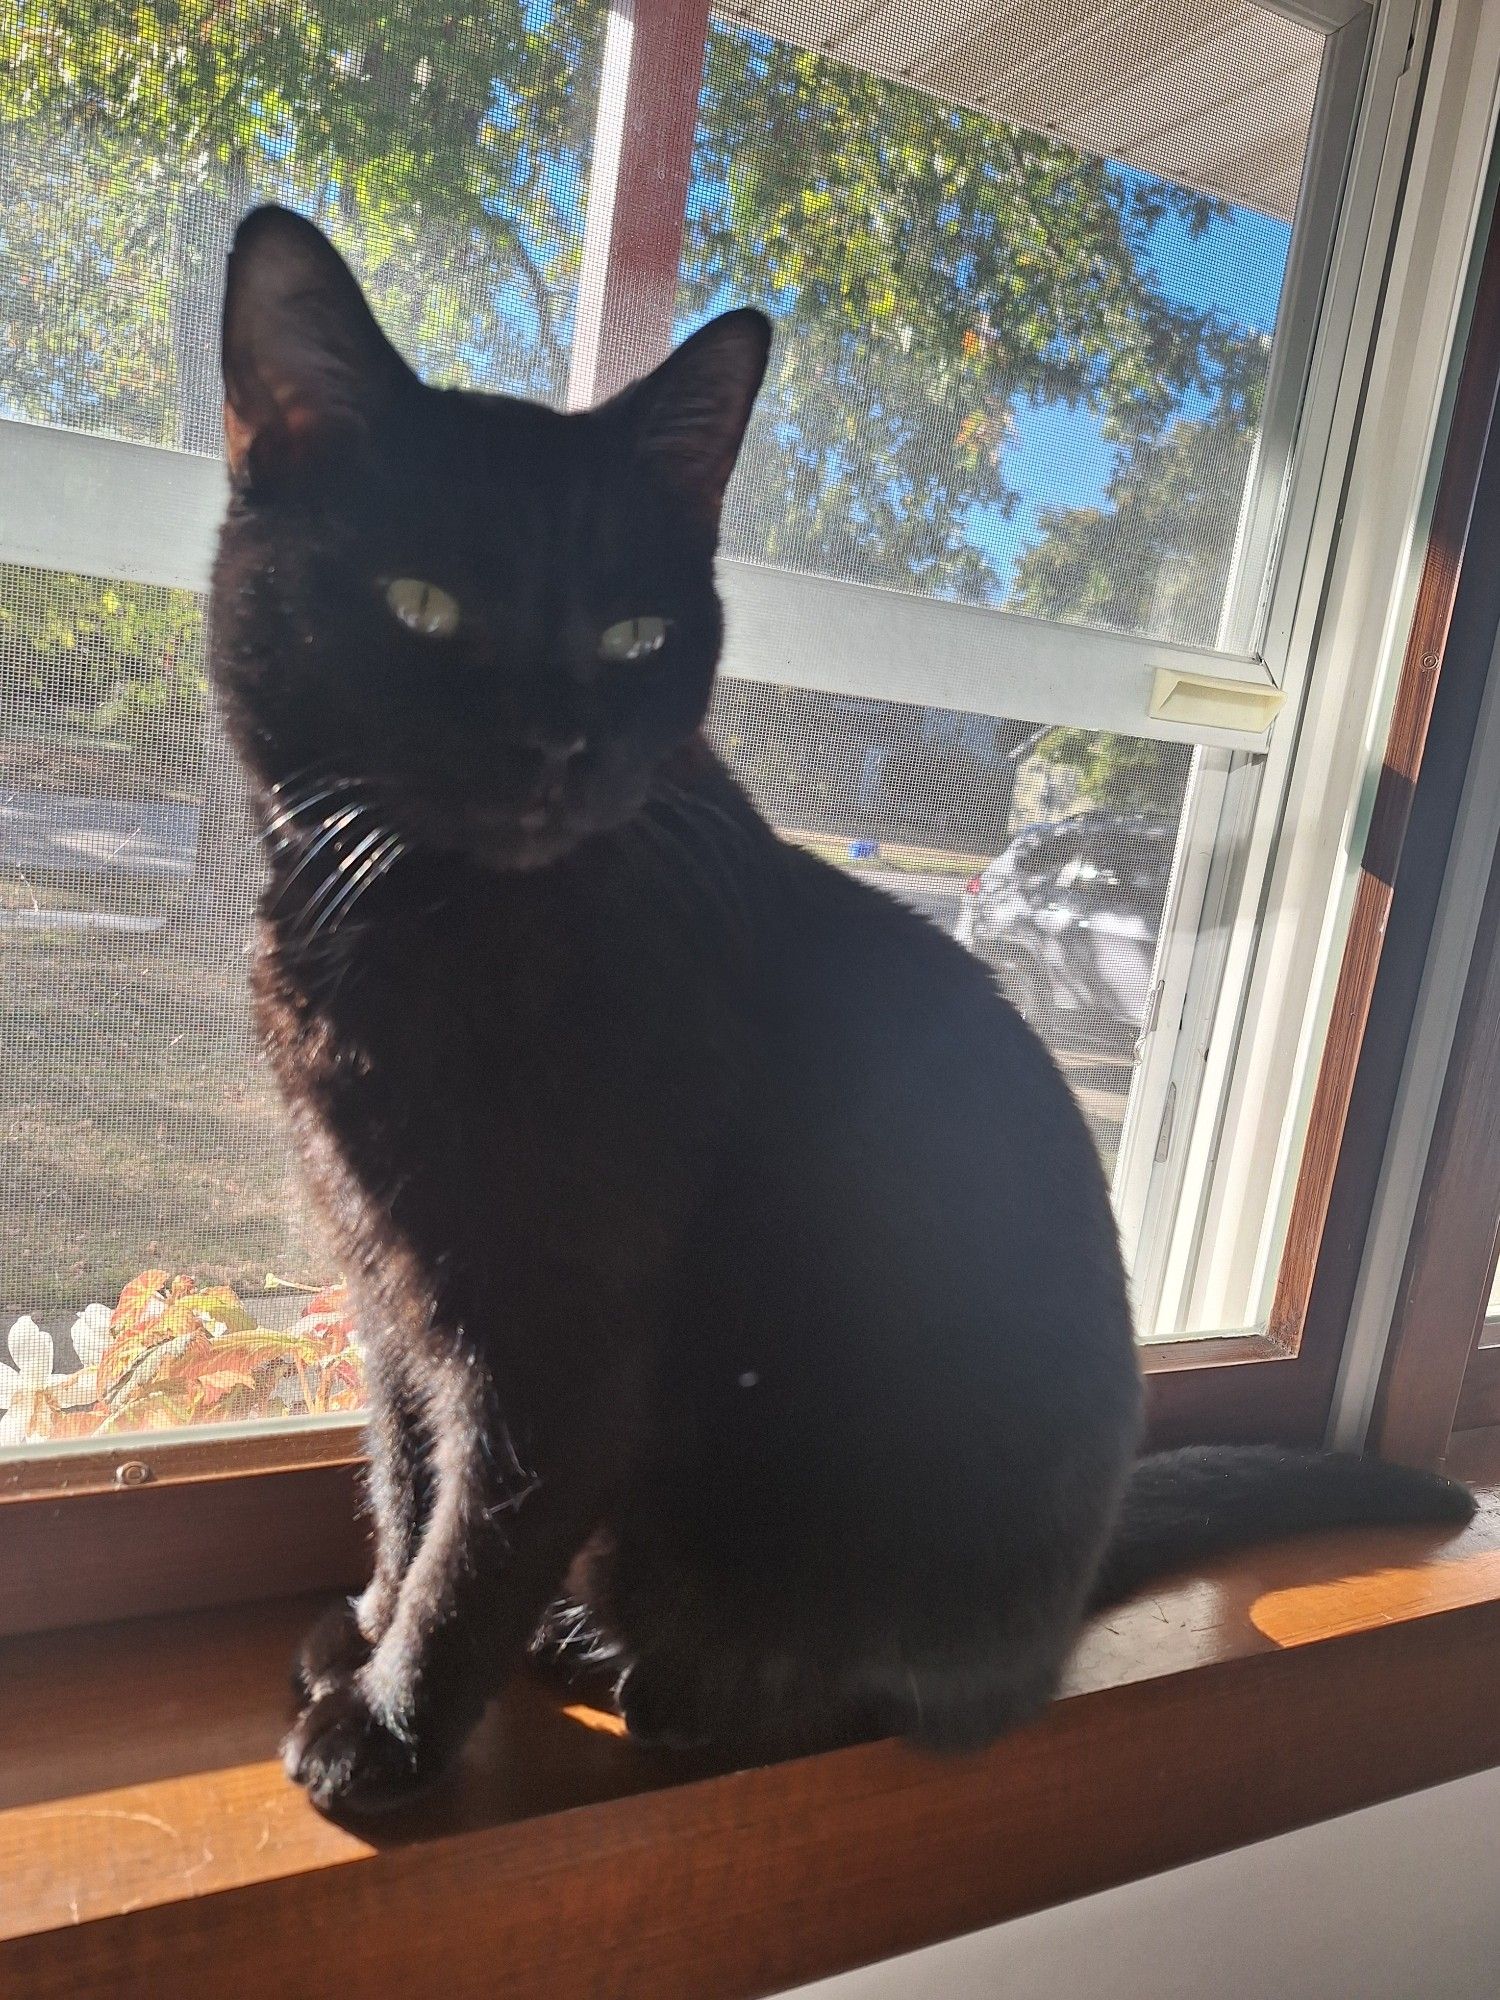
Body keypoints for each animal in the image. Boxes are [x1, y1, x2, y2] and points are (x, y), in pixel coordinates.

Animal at [212, 211, 1480, 1824]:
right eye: (422, 605)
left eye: (634, 635)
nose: (558, 744)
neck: (427, 930)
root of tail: (1071, 1593)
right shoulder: (393, 1287)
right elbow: (402, 1477)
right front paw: (369, 1628)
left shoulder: (561, 1340)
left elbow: (474, 1538)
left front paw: (389, 1720)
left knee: (847, 1691)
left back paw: (661, 1674)